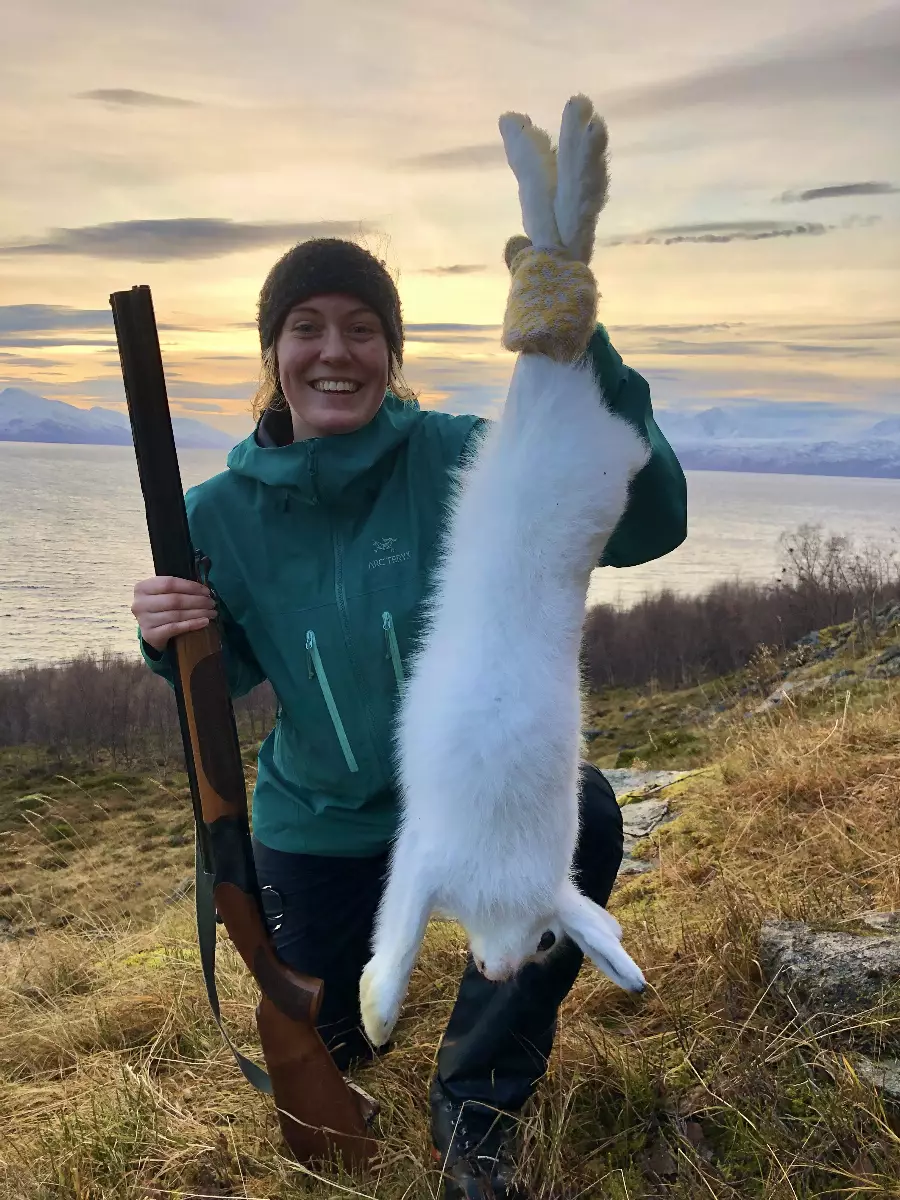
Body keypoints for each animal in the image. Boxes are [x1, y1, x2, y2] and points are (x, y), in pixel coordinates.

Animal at [360, 96, 651, 1049]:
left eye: (552, 941)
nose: (496, 970)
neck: (496, 882)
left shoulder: (423, 858)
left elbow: (396, 929)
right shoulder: (422, 861)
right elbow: (398, 934)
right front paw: (376, 1013)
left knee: (559, 233)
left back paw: (553, 144)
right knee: (564, 232)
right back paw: (562, 145)